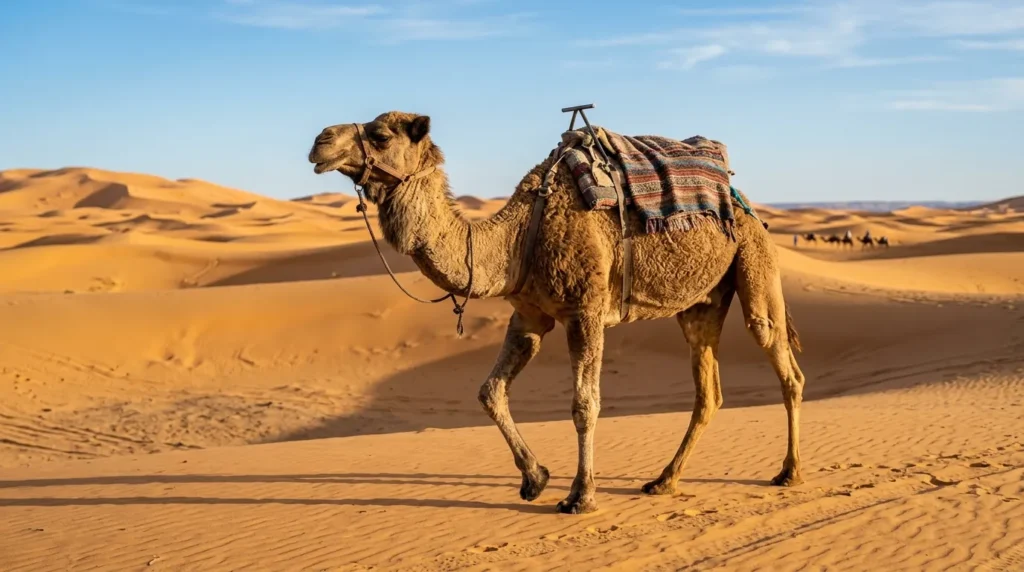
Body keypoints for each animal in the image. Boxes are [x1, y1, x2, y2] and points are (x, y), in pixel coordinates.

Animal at [308, 111, 806, 514]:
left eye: (380, 134)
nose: (320, 140)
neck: (515, 238)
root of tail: (741, 197)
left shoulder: (584, 311)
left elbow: (585, 404)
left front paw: (580, 496)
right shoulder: (529, 316)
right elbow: (490, 391)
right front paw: (535, 478)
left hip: (755, 259)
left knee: (783, 361)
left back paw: (789, 473)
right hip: (701, 303)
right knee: (709, 391)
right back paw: (665, 480)